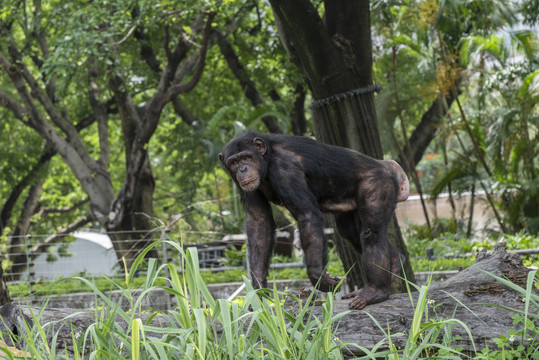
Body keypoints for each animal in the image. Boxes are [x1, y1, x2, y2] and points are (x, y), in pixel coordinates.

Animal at [219, 132, 410, 310]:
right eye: (234, 162)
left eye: (246, 157)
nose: (242, 169)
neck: (267, 160)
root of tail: (388, 166)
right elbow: (259, 221)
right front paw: (257, 293)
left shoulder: (285, 170)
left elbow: (307, 214)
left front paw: (320, 278)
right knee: (350, 232)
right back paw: (395, 261)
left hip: (378, 183)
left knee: (372, 233)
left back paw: (376, 291)